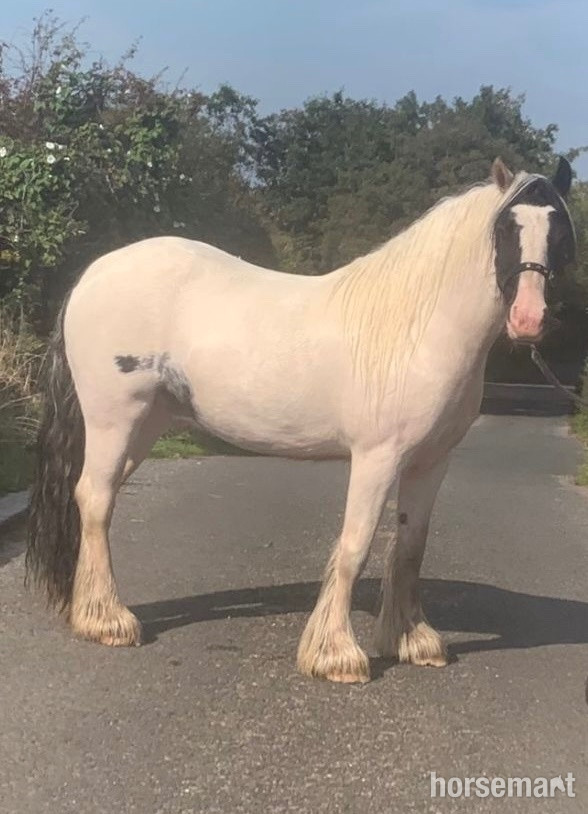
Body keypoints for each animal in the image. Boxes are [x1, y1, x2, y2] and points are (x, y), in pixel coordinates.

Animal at [26, 157, 576, 683]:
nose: (529, 321)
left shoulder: (431, 462)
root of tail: (92, 275)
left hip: (144, 426)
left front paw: (414, 642)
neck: (417, 329)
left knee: (95, 497)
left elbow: (410, 547)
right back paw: (109, 621)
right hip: (114, 419)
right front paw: (336, 657)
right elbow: (355, 545)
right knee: (95, 500)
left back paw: (88, 611)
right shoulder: (377, 457)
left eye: (560, 234)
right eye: (504, 228)